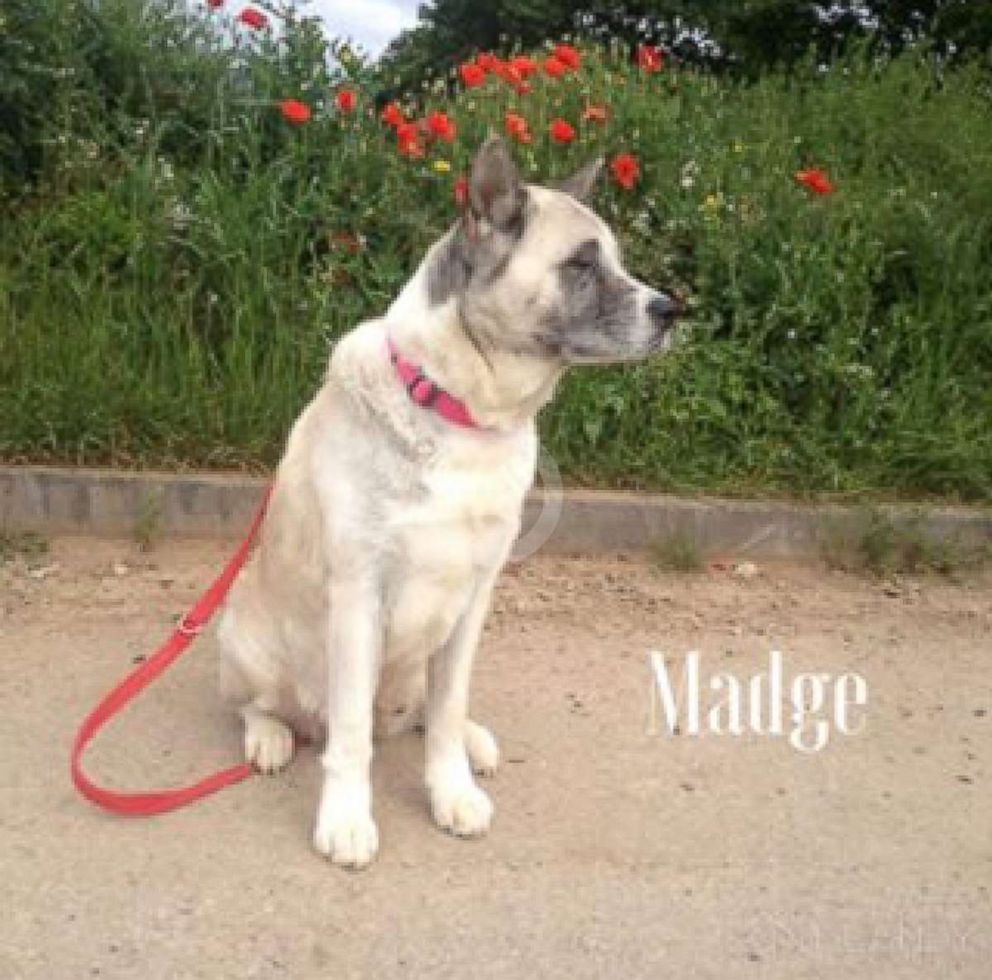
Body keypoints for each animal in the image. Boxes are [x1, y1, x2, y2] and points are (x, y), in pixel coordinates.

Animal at [217, 136, 680, 864]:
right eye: (581, 263)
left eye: (617, 260)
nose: (673, 310)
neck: (460, 413)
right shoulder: (359, 598)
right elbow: (351, 739)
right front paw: (346, 819)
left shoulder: (472, 599)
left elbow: (446, 709)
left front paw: (451, 788)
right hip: (241, 638)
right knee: (264, 705)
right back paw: (269, 735)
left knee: (426, 713)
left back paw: (469, 738)